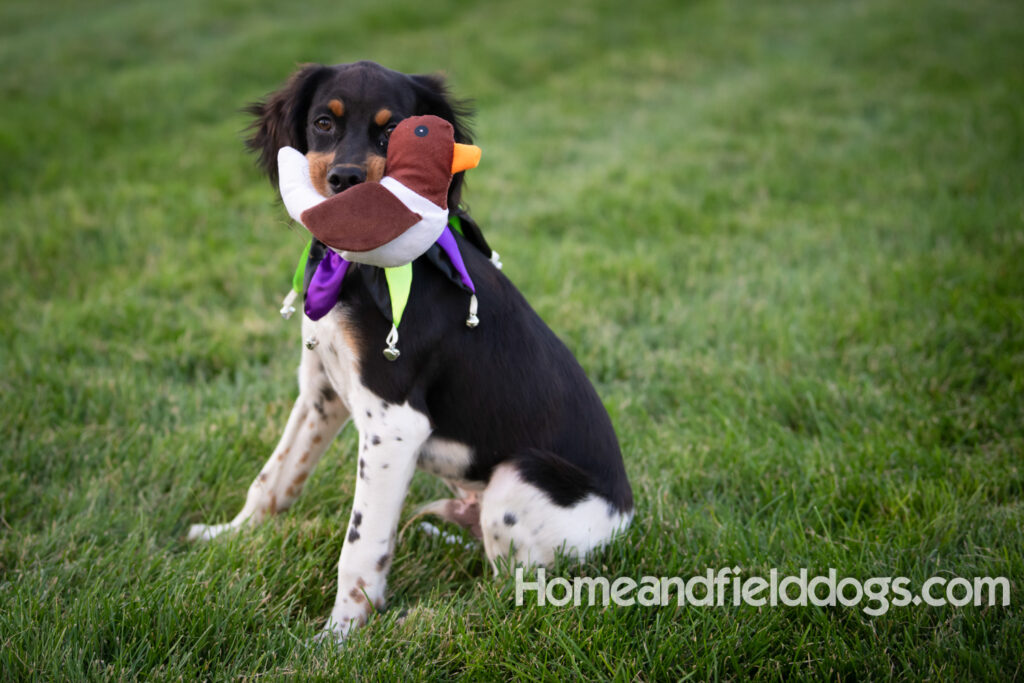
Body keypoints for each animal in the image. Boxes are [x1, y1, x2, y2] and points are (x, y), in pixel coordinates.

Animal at [186, 60, 630, 643]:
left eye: (394, 130)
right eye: (323, 123)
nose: (343, 182)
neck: (356, 269)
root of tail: (625, 521)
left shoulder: (394, 423)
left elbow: (360, 544)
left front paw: (338, 639)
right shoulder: (322, 392)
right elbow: (272, 480)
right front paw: (229, 537)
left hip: (521, 476)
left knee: (515, 593)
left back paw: (435, 618)